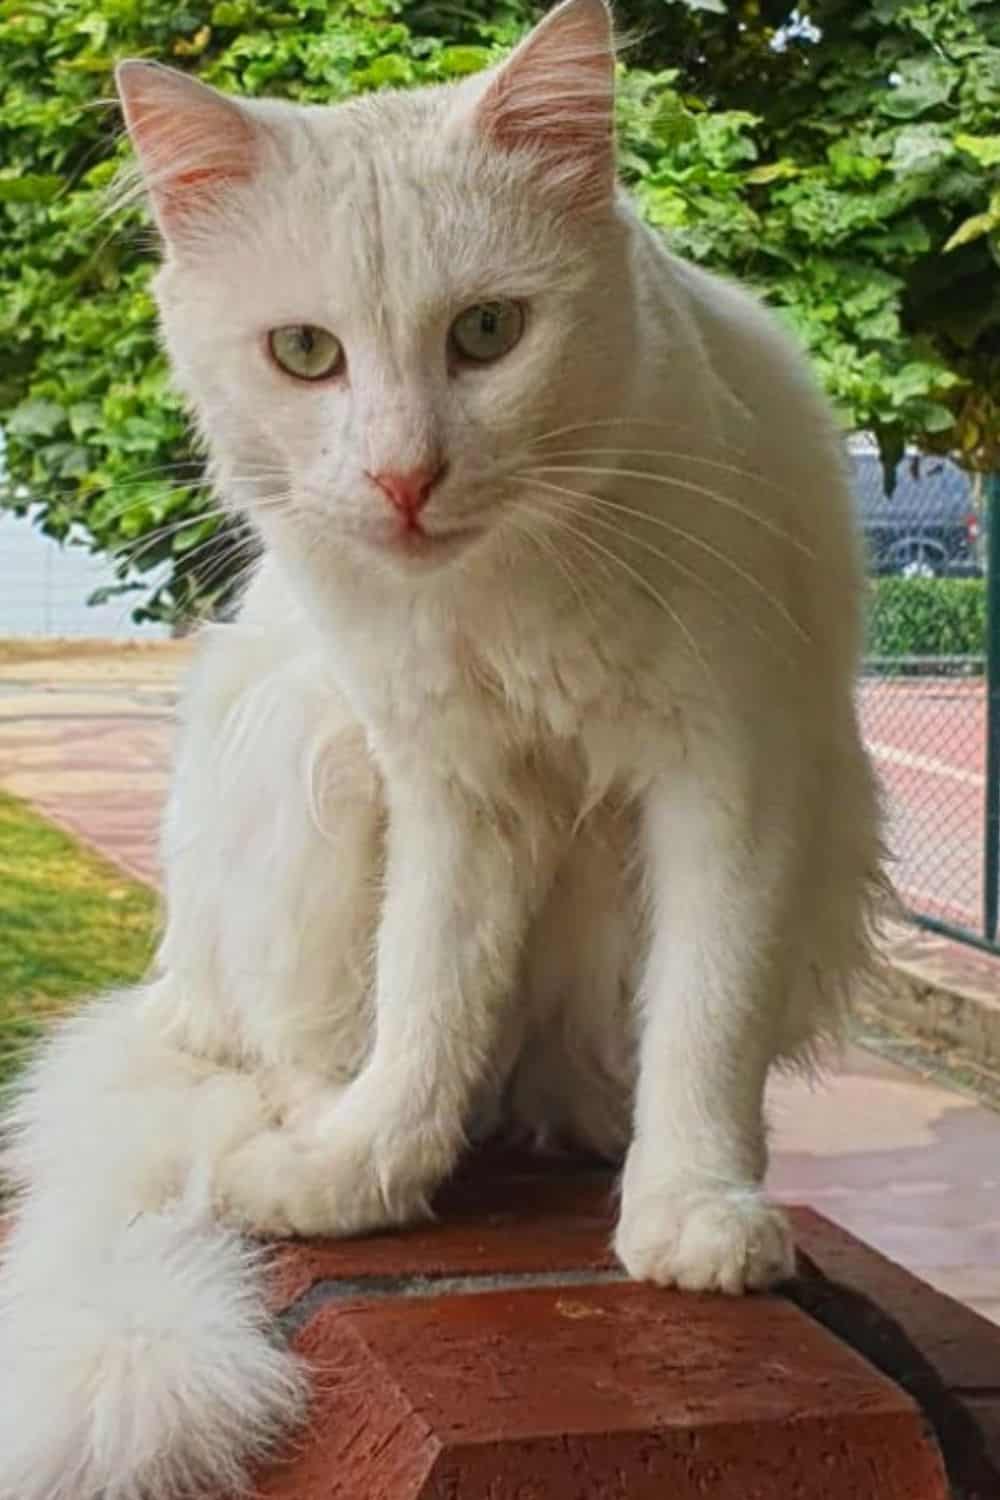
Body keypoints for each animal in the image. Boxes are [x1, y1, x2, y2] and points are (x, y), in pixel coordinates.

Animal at [0, 2, 881, 1500]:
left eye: (487, 333)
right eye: (306, 355)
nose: (406, 479)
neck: (511, 586)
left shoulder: (734, 774)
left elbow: (705, 1015)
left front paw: (694, 1206)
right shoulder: (453, 790)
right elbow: (427, 997)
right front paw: (370, 1172)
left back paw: (583, 1120)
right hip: (303, 750)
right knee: (288, 1049)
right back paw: (315, 1136)